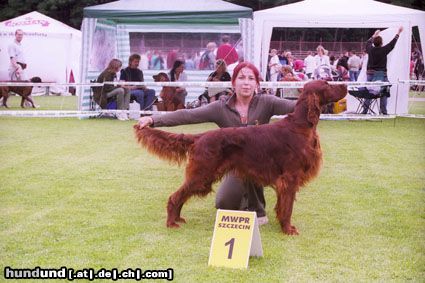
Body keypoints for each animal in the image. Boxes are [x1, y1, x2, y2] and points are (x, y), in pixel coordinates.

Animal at [134, 81, 346, 236]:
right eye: (327, 84)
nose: (344, 85)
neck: (300, 125)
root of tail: (200, 137)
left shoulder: (285, 181)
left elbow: (282, 206)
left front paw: (282, 225)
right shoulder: (290, 177)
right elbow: (288, 208)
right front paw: (288, 229)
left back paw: (177, 219)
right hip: (201, 174)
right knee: (175, 196)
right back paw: (172, 222)